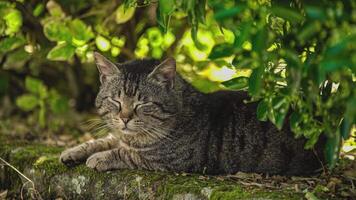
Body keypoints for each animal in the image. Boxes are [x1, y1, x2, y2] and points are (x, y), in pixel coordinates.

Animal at [59, 52, 324, 175]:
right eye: (115, 100)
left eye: (142, 104)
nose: (124, 118)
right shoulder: (120, 135)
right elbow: (103, 140)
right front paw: (72, 151)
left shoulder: (170, 160)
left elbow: (126, 154)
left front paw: (99, 158)